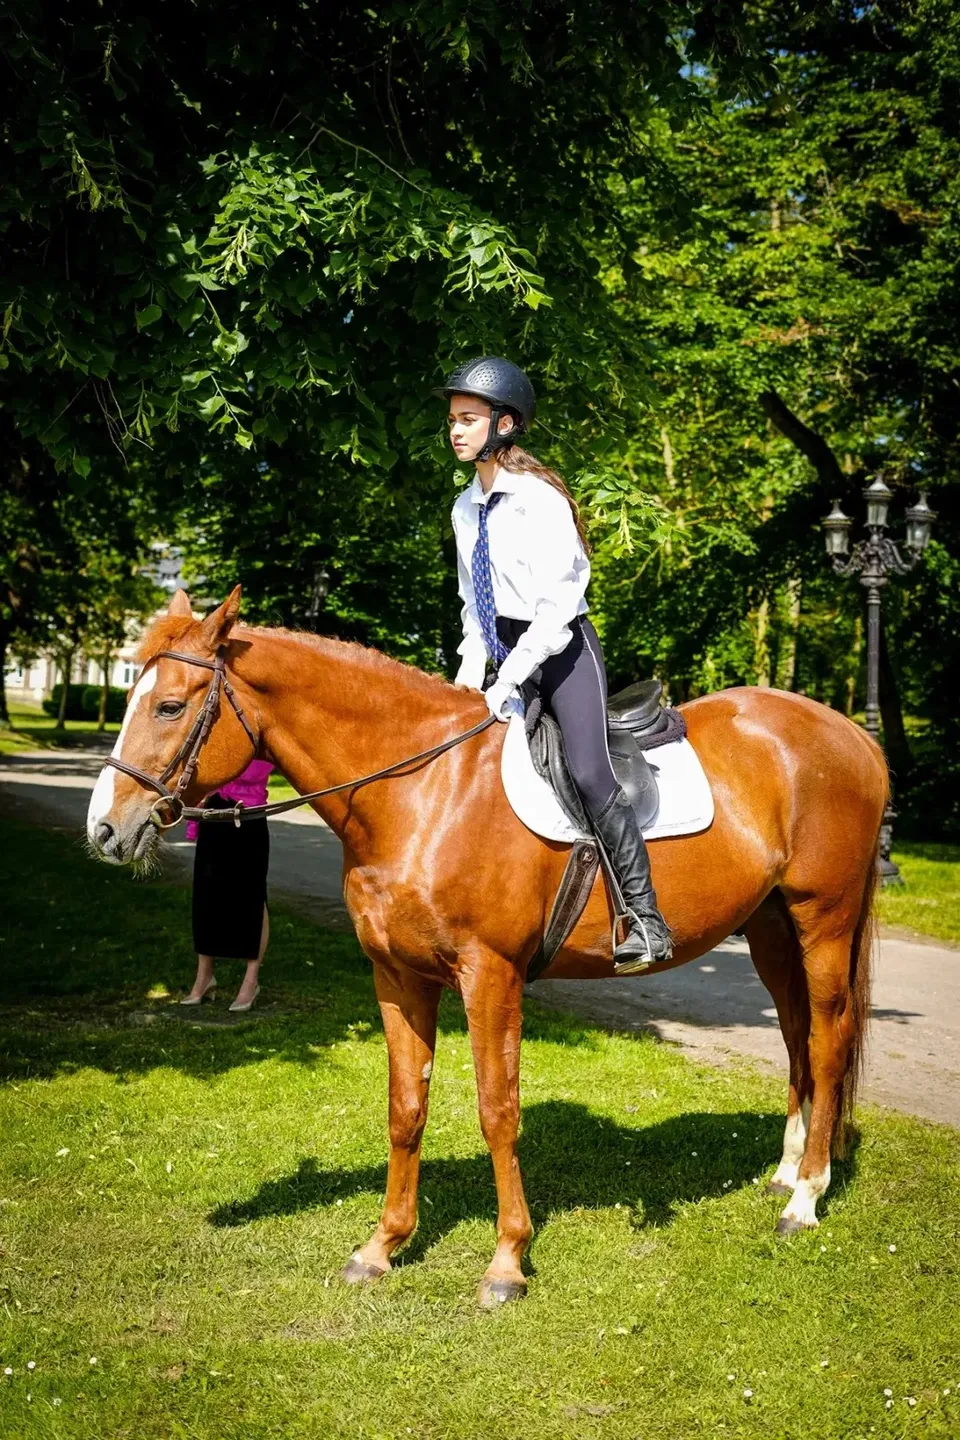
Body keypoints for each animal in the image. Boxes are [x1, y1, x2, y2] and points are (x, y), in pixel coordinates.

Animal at [86, 586, 887, 1306]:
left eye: (169, 706)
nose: (105, 829)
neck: (423, 792)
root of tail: (855, 735)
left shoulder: (489, 977)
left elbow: (497, 1109)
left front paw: (507, 1262)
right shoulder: (397, 977)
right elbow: (405, 1107)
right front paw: (382, 1246)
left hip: (823, 919)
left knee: (828, 1037)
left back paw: (806, 1197)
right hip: (771, 927)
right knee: (796, 1034)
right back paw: (787, 1170)